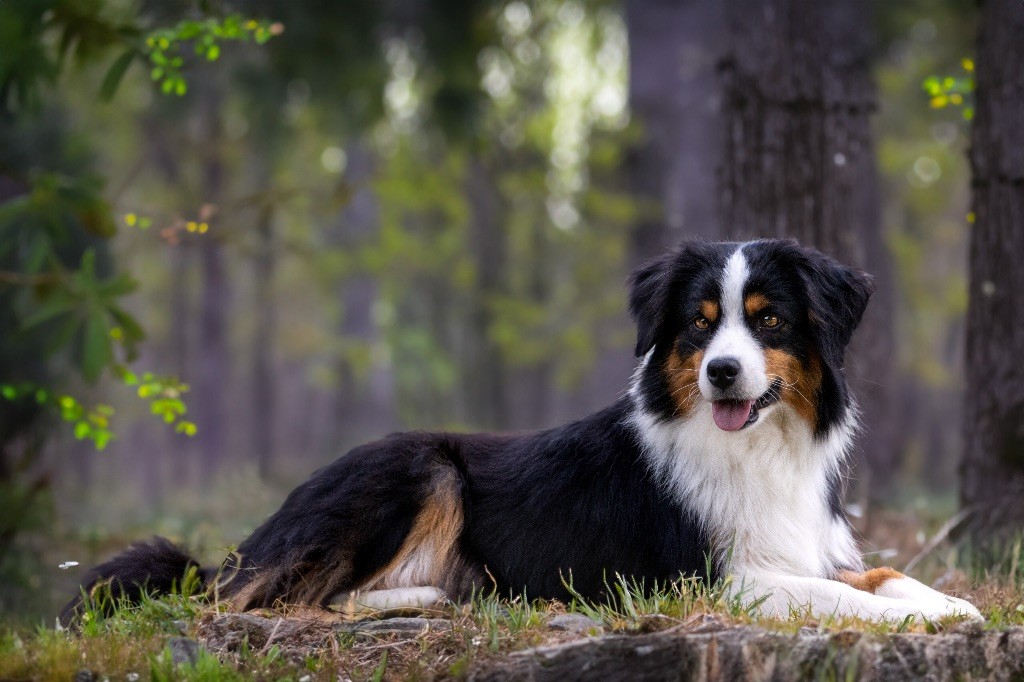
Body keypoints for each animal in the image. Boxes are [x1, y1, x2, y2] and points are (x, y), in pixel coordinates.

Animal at [64, 237, 983, 622]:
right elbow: (835, 596)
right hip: (417, 464)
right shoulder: (708, 578)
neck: (752, 446)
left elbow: (884, 573)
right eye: (699, 325)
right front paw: (922, 623)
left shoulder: (808, 546)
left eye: (769, 320)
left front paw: (952, 605)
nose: (723, 372)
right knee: (260, 599)